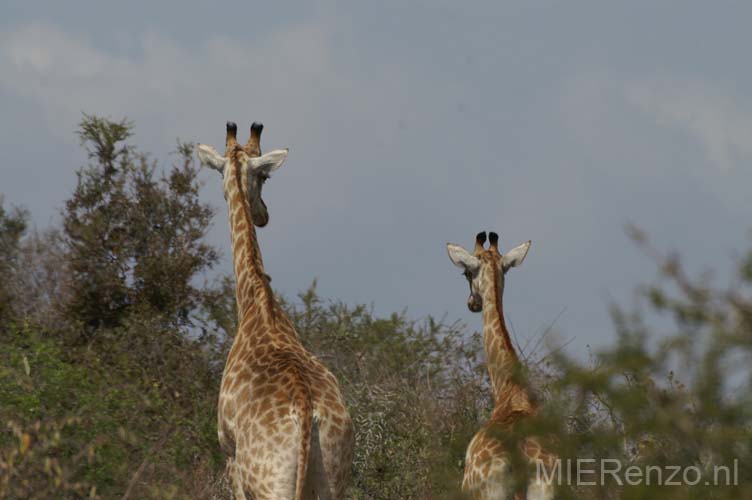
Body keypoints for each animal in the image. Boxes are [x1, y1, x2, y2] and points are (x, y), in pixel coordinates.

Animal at [198, 122, 354, 500]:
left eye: (265, 177)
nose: (263, 215)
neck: (257, 303)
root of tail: (307, 412)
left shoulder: (229, 454)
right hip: (333, 477)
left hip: (269, 482)